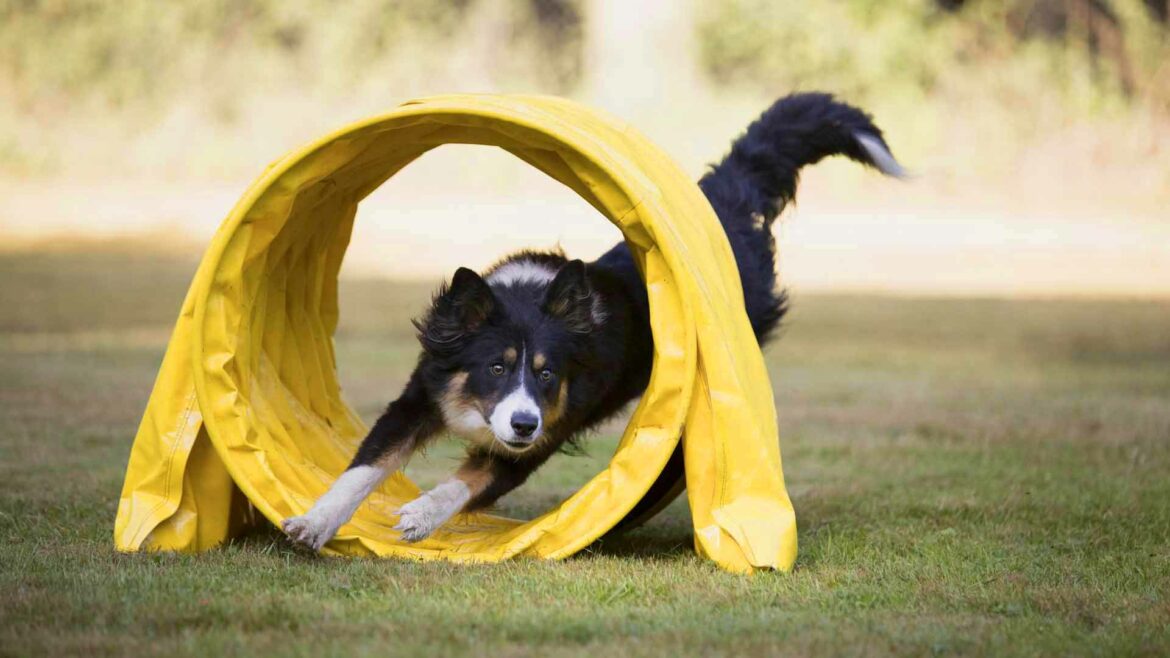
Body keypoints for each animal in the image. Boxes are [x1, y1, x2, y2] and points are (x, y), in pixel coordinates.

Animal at [280, 89, 903, 545]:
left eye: (547, 374)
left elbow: (466, 481)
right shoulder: (422, 394)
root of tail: (723, 210)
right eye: (496, 367)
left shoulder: (543, 436)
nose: (522, 424)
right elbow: (363, 467)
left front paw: (420, 514)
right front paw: (314, 522)